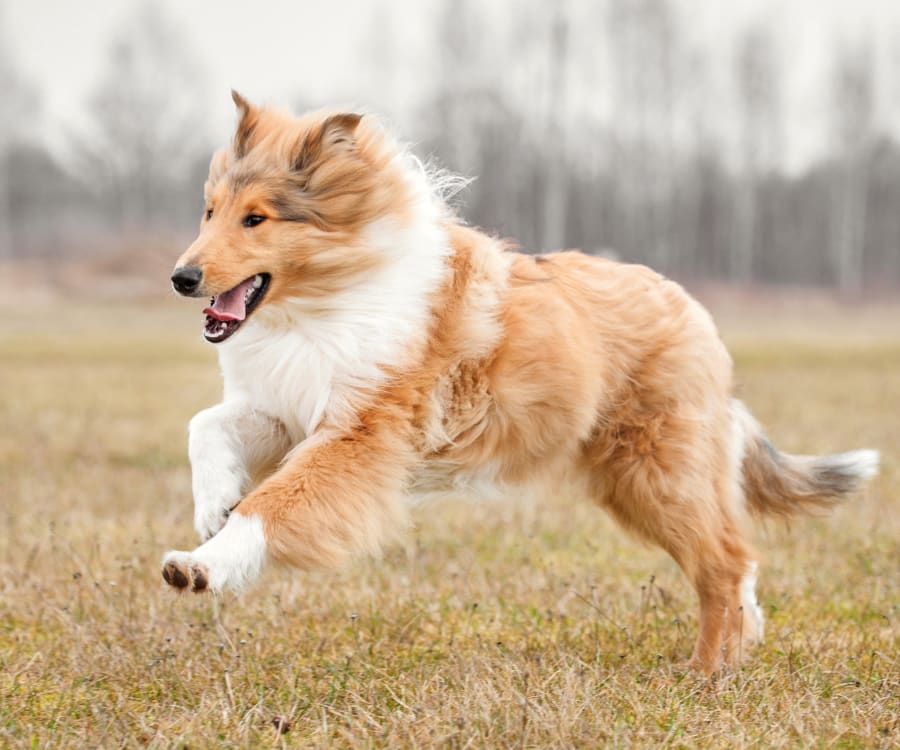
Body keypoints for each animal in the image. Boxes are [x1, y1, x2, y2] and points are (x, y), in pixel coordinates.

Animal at [162, 94, 880, 676]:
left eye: (256, 219)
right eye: (209, 211)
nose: (181, 278)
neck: (328, 298)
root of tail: (691, 308)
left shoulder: (357, 436)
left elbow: (272, 506)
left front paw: (201, 565)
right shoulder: (288, 410)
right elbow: (204, 425)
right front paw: (212, 505)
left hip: (658, 476)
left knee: (725, 562)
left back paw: (705, 673)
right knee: (738, 559)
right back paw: (739, 648)